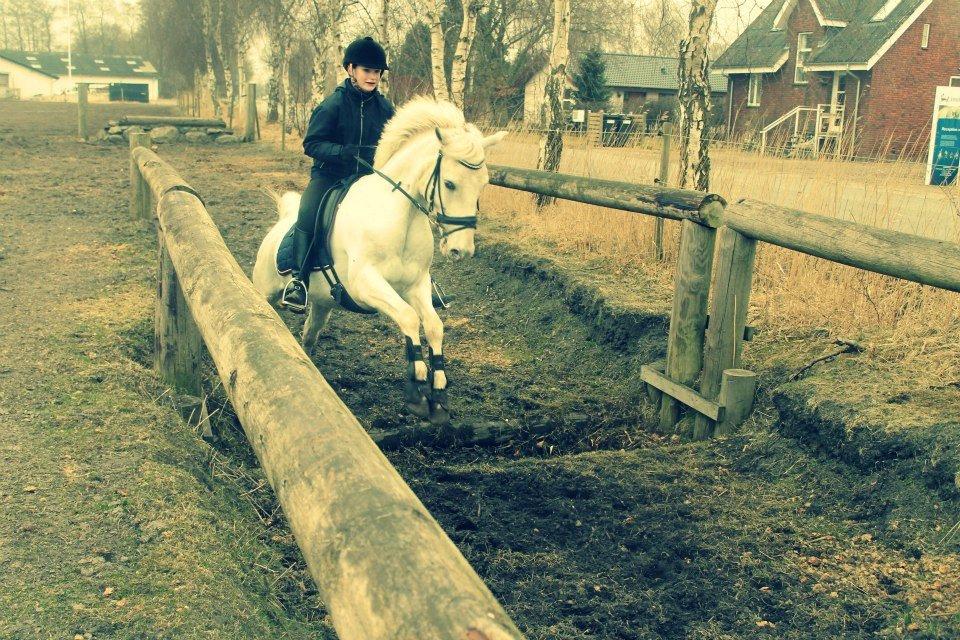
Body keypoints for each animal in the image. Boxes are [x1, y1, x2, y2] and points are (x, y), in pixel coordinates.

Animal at [255, 97, 510, 424]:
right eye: (450, 184)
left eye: (484, 184)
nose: (460, 250)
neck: (400, 217)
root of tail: (281, 222)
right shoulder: (366, 285)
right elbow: (408, 317)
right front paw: (417, 390)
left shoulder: (416, 284)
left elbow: (433, 325)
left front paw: (439, 393)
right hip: (265, 292)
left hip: (323, 304)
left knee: (310, 334)